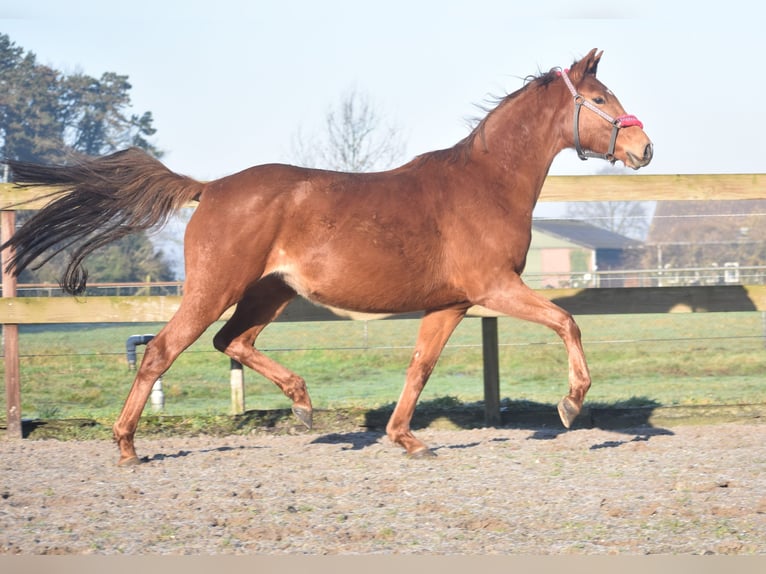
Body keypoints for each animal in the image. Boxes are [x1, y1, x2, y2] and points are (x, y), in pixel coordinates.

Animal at [4, 47, 656, 466]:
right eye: (600, 97)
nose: (644, 148)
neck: (486, 184)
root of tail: (209, 188)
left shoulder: (450, 304)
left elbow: (419, 368)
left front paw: (406, 439)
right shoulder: (493, 287)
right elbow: (567, 321)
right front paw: (571, 404)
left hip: (270, 292)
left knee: (231, 341)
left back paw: (302, 404)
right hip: (216, 288)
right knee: (164, 352)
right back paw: (127, 446)